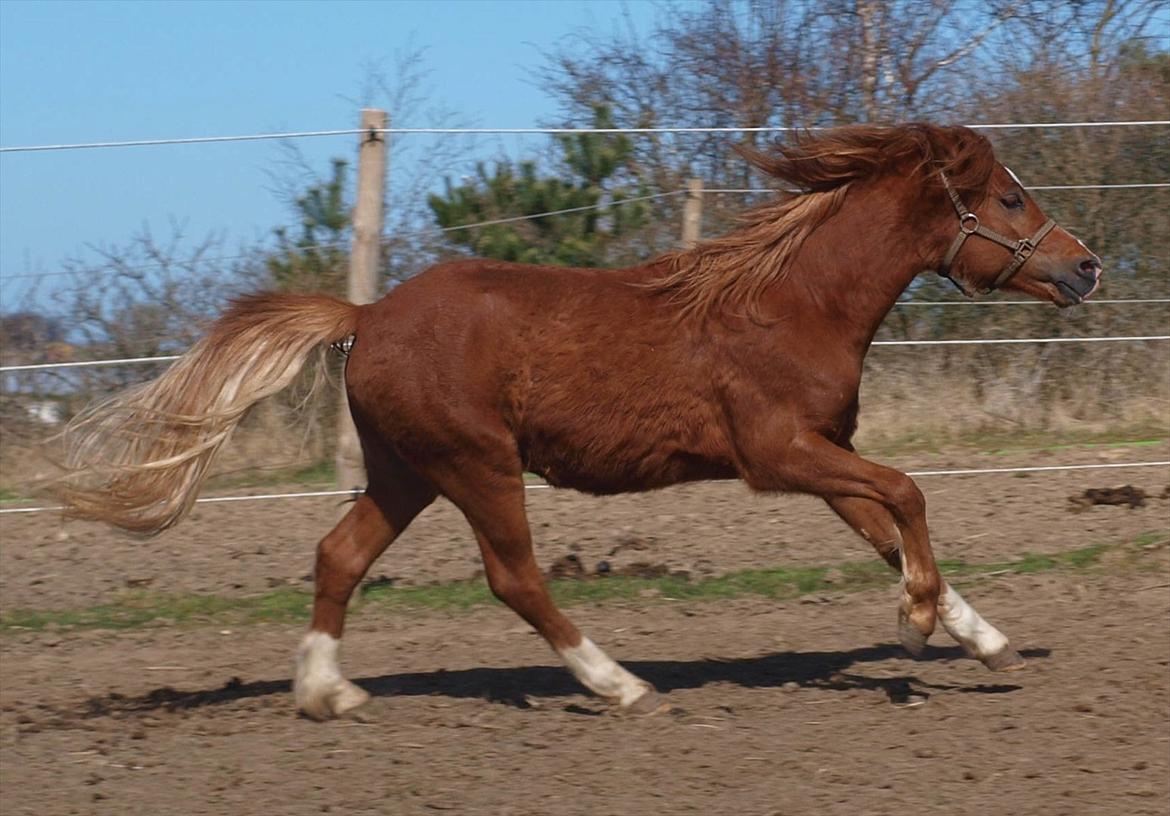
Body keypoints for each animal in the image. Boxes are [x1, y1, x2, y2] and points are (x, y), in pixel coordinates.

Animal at [54, 124, 1095, 716]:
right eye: (1009, 197)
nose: (1084, 266)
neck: (792, 301)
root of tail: (365, 315)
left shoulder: (822, 450)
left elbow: (885, 528)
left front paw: (977, 636)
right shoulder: (779, 454)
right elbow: (908, 496)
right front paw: (917, 629)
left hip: (406, 471)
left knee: (338, 556)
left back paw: (328, 693)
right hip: (477, 465)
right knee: (514, 578)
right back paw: (620, 684)